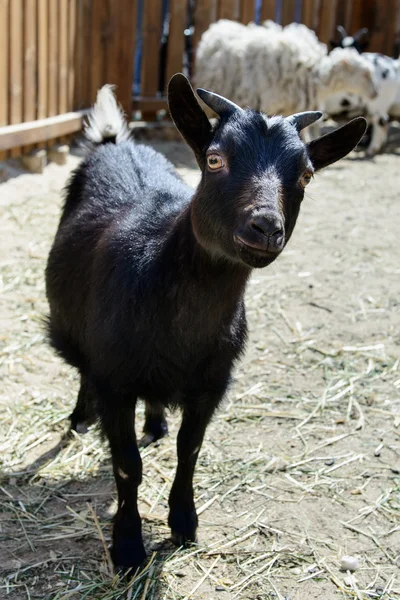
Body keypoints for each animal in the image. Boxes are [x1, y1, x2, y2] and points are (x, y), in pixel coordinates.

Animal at [46, 72, 366, 568]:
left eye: (307, 174)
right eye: (214, 159)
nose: (265, 227)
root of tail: (115, 143)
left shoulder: (211, 383)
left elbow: (189, 449)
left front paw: (184, 524)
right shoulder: (115, 380)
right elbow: (127, 464)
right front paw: (128, 546)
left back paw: (155, 422)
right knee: (82, 368)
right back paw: (80, 417)